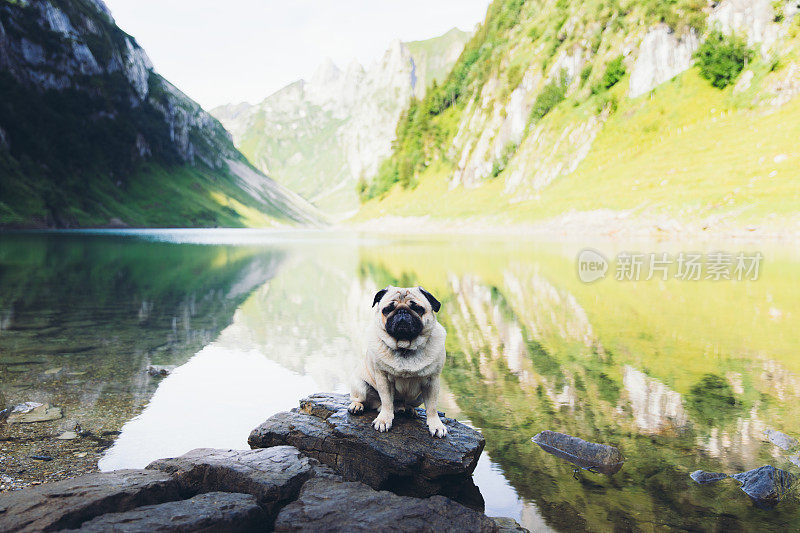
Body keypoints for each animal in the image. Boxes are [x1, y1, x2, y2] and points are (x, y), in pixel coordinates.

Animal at [348, 286, 450, 436]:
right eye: (387, 309)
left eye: (418, 308)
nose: (402, 311)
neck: (404, 347)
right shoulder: (383, 378)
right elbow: (386, 401)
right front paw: (384, 420)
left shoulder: (432, 381)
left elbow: (432, 407)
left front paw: (436, 425)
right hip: (360, 384)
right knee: (364, 400)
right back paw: (357, 406)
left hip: (419, 397)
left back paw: (408, 410)